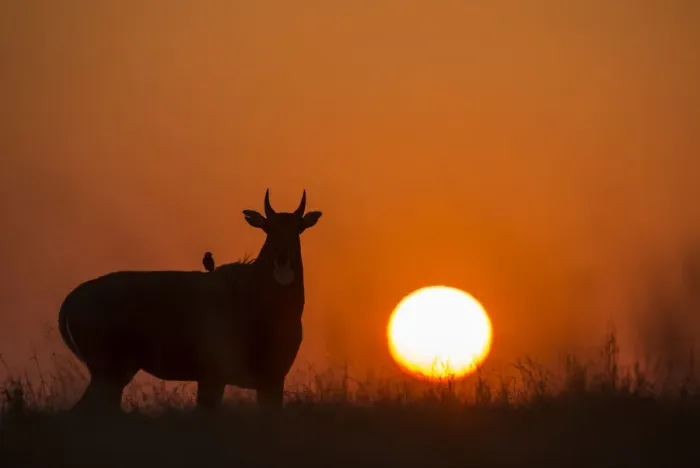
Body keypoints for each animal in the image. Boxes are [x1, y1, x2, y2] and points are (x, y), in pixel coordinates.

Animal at [57, 189, 322, 414]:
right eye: (268, 227)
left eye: (298, 228)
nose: (282, 255)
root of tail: (71, 300)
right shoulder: (213, 375)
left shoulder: (273, 378)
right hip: (107, 368)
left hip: (117, 371)